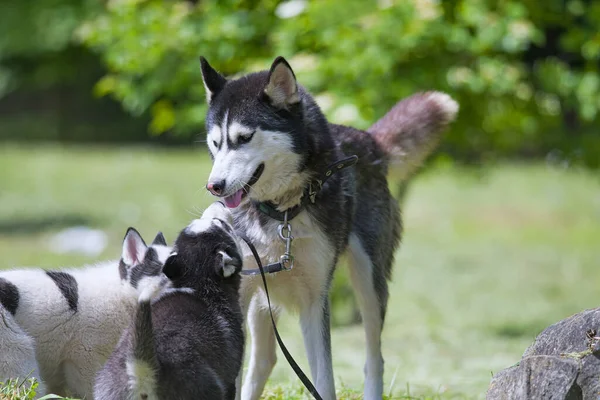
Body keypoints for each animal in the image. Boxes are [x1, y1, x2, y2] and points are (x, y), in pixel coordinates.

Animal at [199, 56, 458, 400]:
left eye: (244, 138)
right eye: (216, 143)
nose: (214, 186)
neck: (282, 213)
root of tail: (367, 139)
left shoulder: (315, 299)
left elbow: (324, 379)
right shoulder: (240, 295)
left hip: (369, 280)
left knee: (374, 358)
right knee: (264, 361)